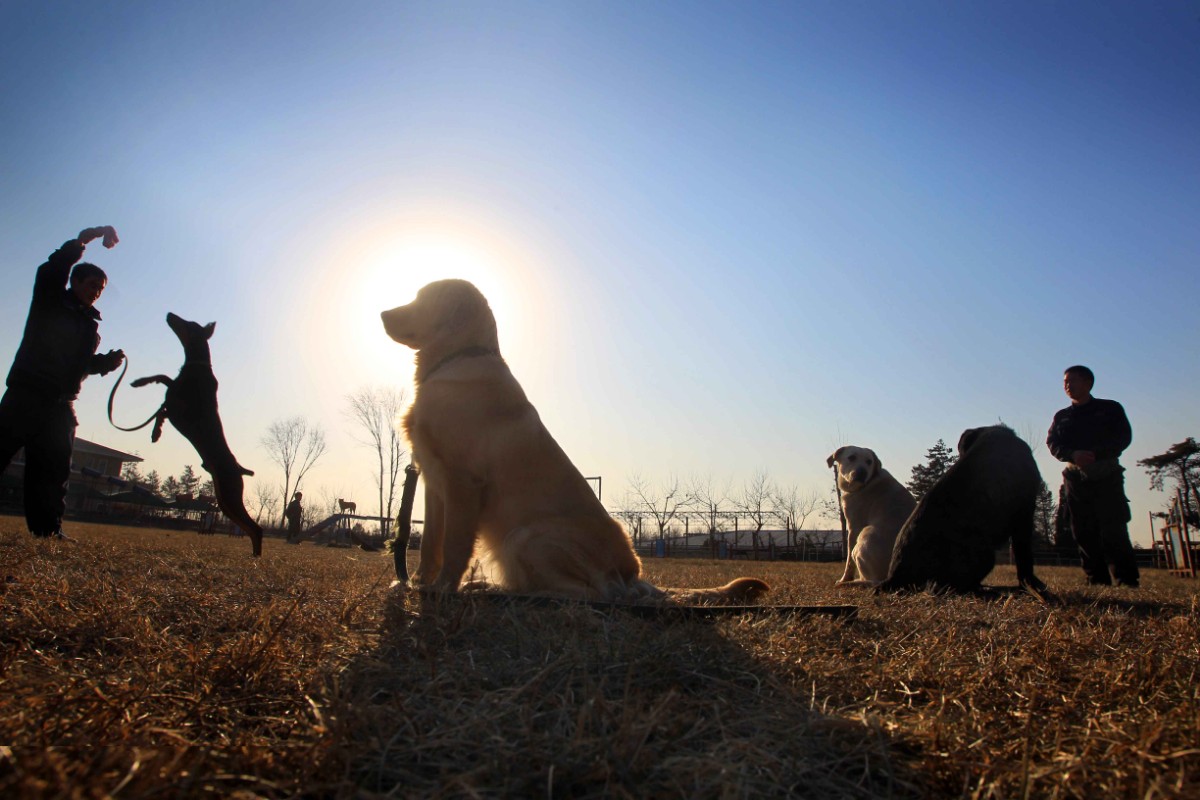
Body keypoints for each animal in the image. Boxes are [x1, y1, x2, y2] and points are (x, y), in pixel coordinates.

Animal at [131, 311, 262, 556]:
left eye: (190, 324)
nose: (169, 314)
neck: (197, 365)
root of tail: (239, 468)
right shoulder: (173, 400)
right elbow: (163, 384)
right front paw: (155, 429)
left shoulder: (179, 408)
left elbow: (165, 396)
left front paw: (154, 428)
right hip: (224, 502)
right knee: (248, 527)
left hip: (230, 493)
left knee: (256, 528)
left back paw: (256, 558)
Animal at [830, 448, 912, 585]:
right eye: (851, 457)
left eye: (869, 462)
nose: (862, 472)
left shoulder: (854, 527)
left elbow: (849, 562)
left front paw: (844, 579)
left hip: (866, 534)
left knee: (869, 580)